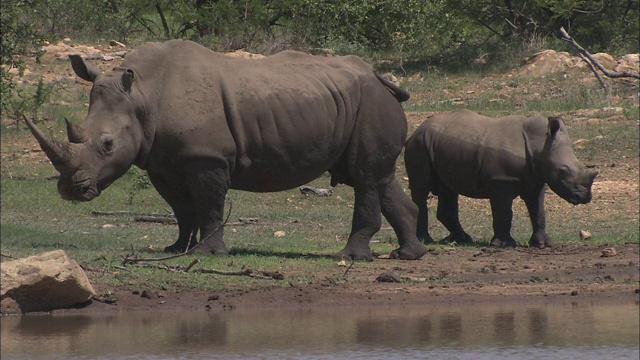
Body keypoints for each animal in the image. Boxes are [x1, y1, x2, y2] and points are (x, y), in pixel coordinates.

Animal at [25, 40, 428, 262]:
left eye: (107, 145)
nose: (70, 190)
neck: (143, 95)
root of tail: (381, 78)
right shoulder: (163, 161)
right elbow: (181, 209)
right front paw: (175, 249)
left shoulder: (205, 156)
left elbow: (208, 204)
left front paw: (207, 253)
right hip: (355, 103)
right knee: (376, 176)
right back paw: (409, 254)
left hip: (370, 103)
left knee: (364, 176)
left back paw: (351, 257)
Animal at [408, 109, 596, 248]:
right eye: (563, 171)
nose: (586, 197)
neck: (538, 145)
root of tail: (418, 128)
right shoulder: (501, 179)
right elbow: (504, 211)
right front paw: (504, 244)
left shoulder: (535, 179)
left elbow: (538, 211)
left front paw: (544, 244)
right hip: (419, 143)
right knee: (421, 189)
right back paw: (425, 240)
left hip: (441, 145)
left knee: (449, 189)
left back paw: (463, 239)